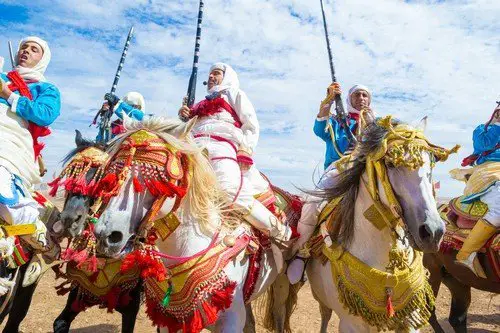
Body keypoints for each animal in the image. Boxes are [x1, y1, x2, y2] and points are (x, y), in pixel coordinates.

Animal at [88, 115, 294, 330]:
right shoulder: (168, 320)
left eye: (158, 178)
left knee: (279, 315)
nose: (106, 236)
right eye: (114, 172)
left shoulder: (231, 320)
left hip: (282, 282)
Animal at [290, 117, 458, 332]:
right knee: (325, 315)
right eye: (391, 164)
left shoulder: (409, 319)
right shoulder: (351, 325)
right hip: (320, 297)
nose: (433, 232)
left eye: (431, 165)